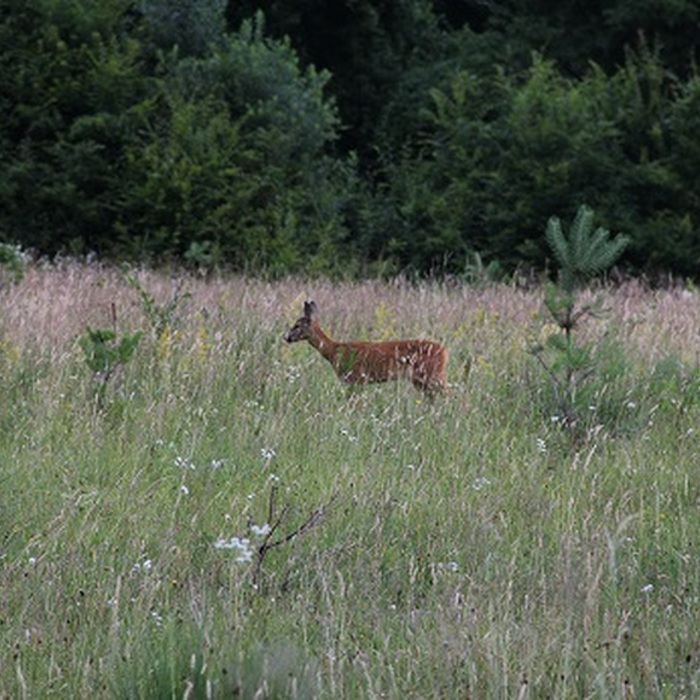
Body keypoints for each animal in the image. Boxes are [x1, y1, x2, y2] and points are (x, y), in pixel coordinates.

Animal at [284, 300, 448, 396]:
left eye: (297, 325)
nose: (286, 337)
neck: (334, 351)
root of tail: (444, 351)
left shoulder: (356, 377)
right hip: (421, 379)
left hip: (430, 373)